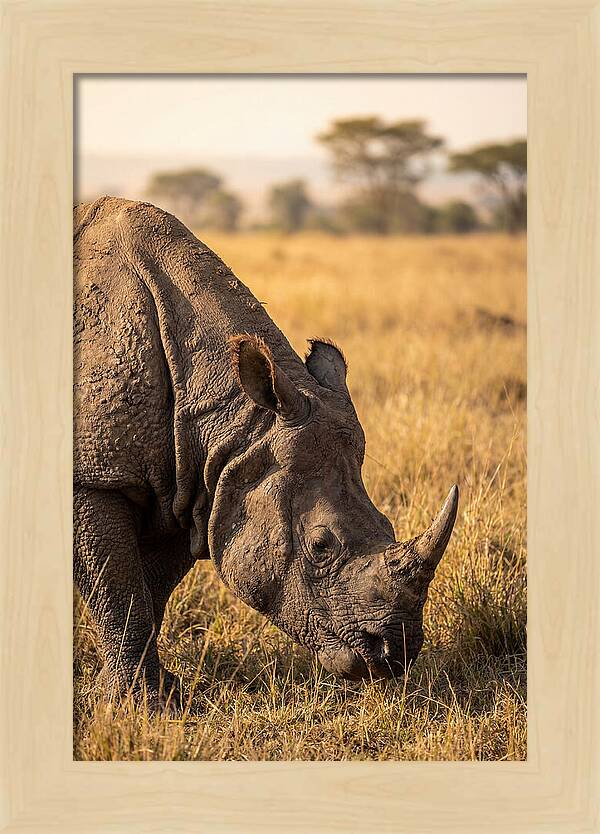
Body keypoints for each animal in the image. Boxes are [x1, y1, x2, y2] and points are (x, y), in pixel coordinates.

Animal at [74, 197, 458, 707]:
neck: (234, 423)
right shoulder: (96, 478)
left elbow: (148, 593)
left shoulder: (191, 483)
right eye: (320, 546)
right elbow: (120, 594)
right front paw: (139, 707)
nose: (395, 655)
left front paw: (150, 697)